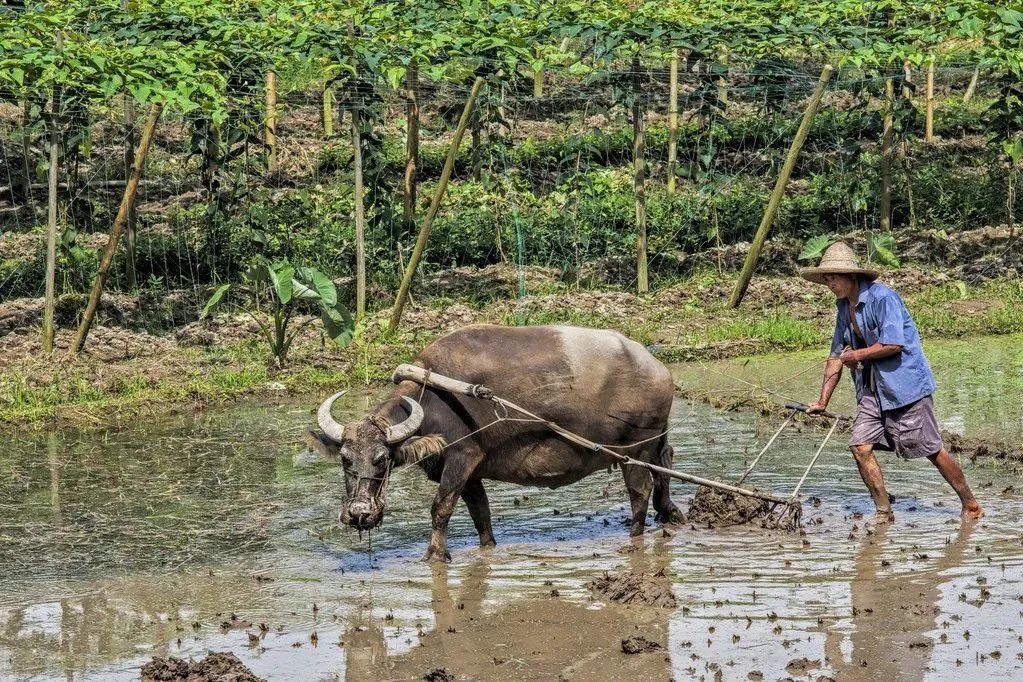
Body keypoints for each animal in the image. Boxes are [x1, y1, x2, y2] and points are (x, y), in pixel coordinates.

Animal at [310, 325, 679, 564]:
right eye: (345, 459)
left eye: (382, 459)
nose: (359, 513)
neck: (432, 398)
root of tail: (658, 368)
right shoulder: (473, 472)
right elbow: (481, 514)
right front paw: (487, 546)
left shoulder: (462, 457)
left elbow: (441, 508)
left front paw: (434, 554)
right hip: (655, 441)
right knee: (665, 463)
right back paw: (668, 513)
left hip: (635, 449)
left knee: (640, 490)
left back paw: (635, 534)